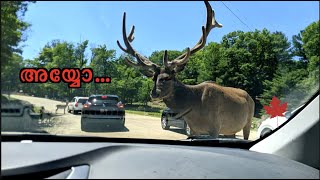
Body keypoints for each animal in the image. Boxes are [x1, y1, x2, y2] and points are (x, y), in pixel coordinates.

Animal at [117, 0, 255, 140]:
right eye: (154, 78)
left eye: (167, 77)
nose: (154, 93)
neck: (194, 109)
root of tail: (250, 97)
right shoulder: (194, 129)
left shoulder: (215, 126)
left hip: (248, 120)